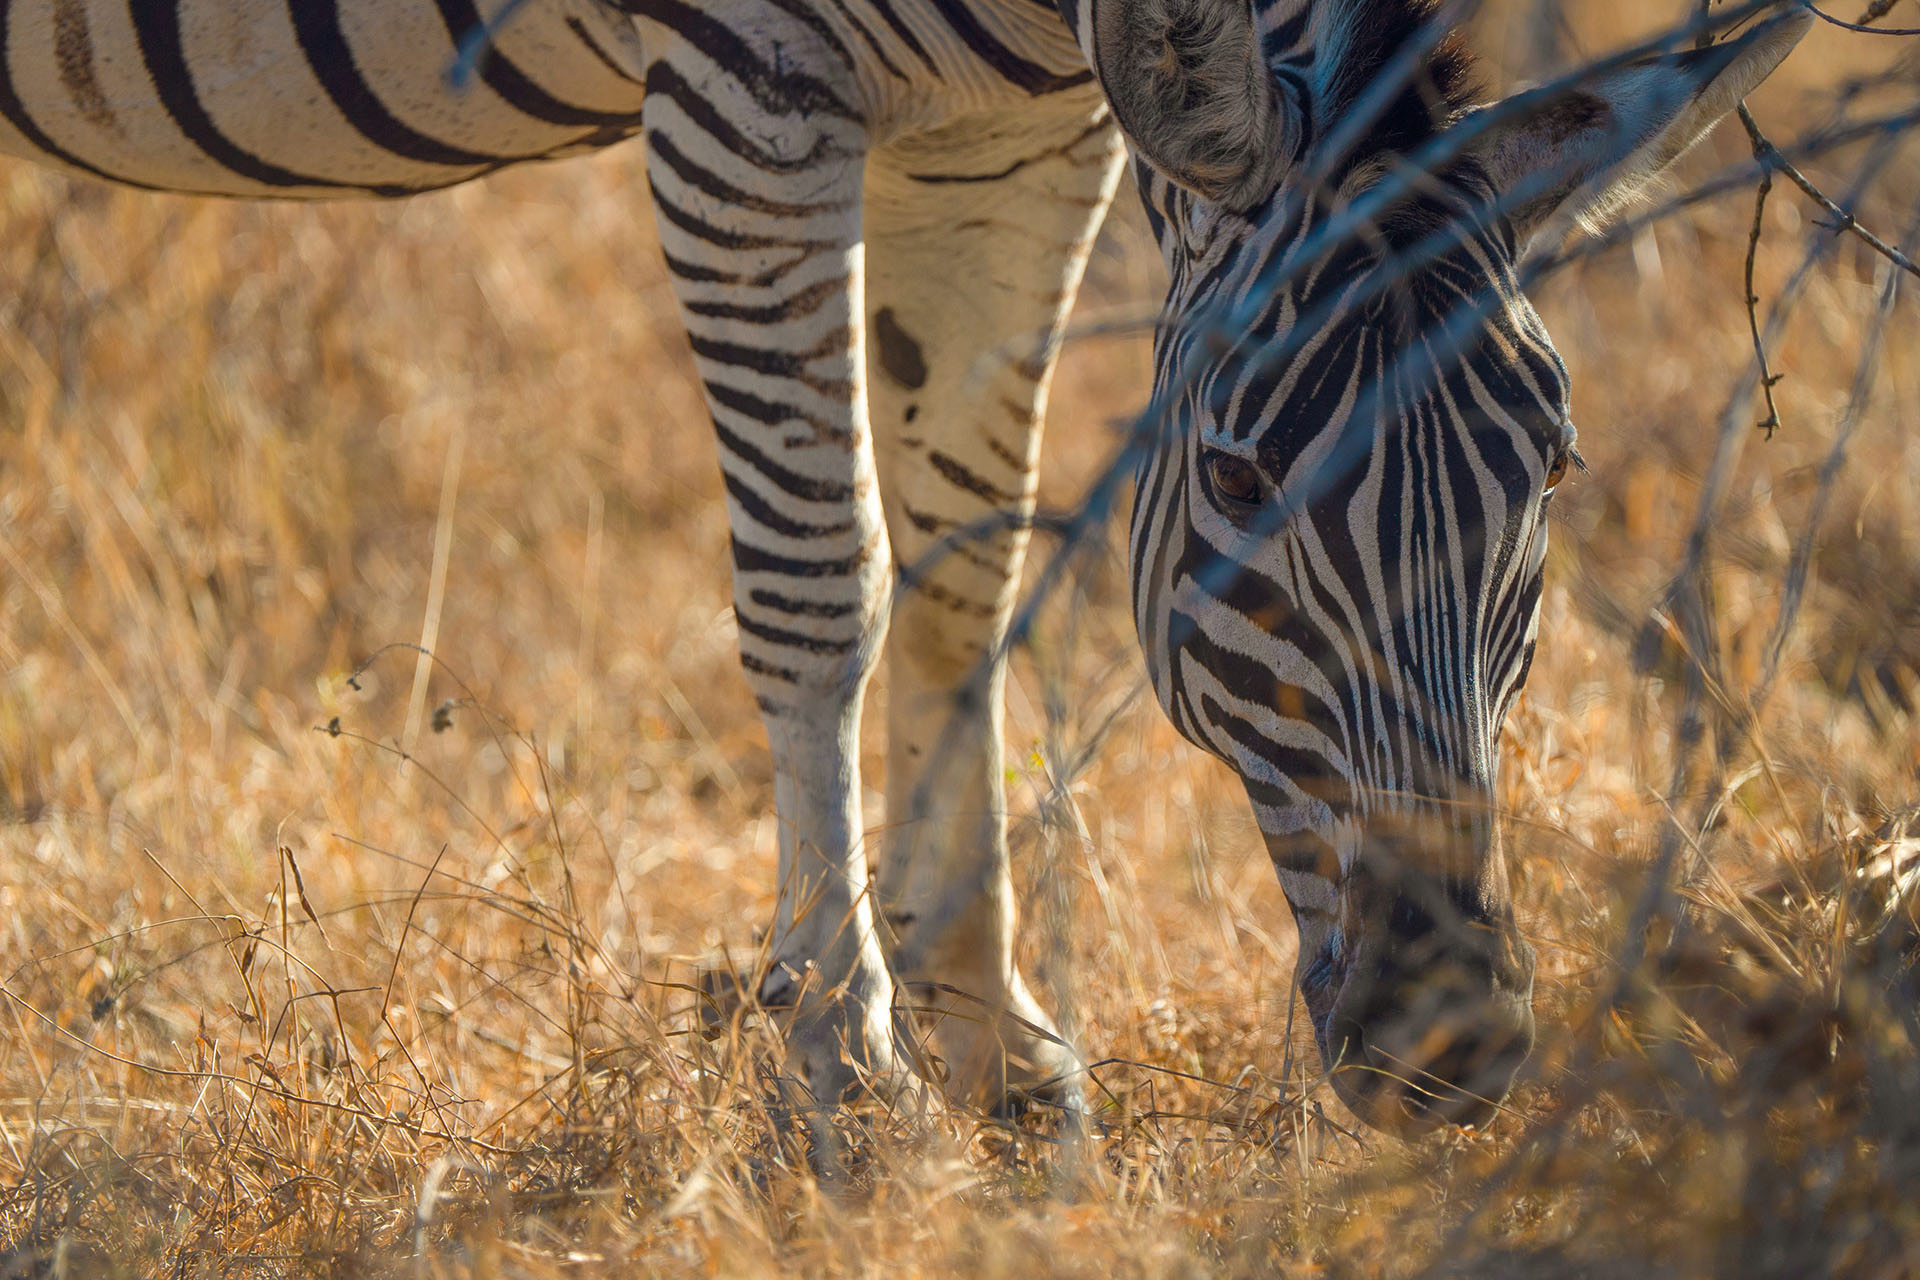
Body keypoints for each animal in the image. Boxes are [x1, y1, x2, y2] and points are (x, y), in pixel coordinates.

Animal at [0, 0, 1809, 1132]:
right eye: (1235, 478)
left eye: (1554, 471)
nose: (1456, 1053)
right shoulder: (745, 87)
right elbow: (828, 583)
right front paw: (847, 1070)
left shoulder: (1021, 134)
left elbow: (967, 569)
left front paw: (991, 1035)